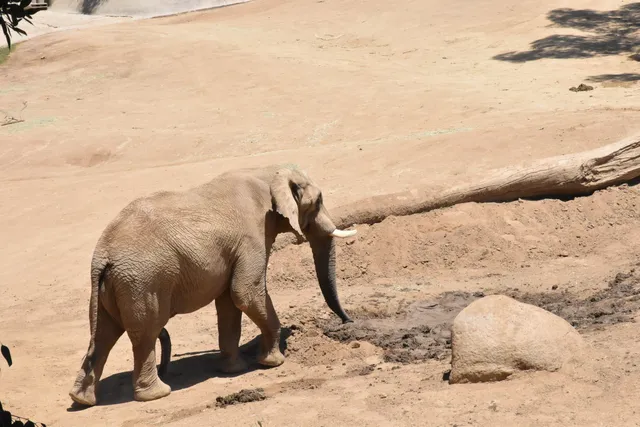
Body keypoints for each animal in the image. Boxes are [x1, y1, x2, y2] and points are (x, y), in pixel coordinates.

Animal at [69, 164, 357, 406]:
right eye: (318, 201)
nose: (348, 321)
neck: (267, 172)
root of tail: (103, 255)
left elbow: (229, 301)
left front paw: (234, 369)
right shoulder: (253, 235)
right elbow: (245, 293)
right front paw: (273, 362)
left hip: (112, 286)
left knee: (103, 334)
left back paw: (82, 400)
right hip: (142, 282)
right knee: (145, 333)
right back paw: (157, 394)